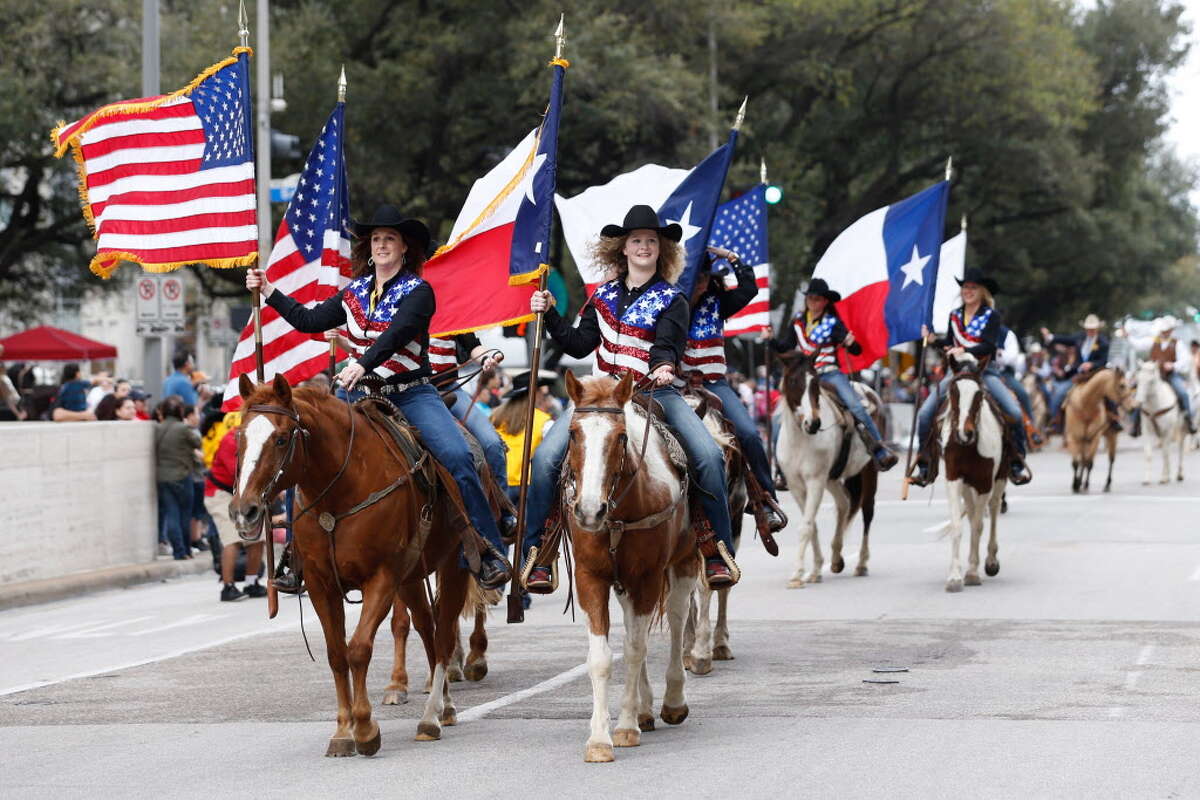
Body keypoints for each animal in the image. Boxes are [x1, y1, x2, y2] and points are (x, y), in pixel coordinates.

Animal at [228, 376, 477, 758]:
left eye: (281, 438)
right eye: (240, 438)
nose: (245, 511)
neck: (340, 490)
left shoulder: (381, 578)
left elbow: (358, 649)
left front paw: (364, 728)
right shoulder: (322, 585)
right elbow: (336, 654)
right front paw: (343, 731)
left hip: (453, 566)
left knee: (444, 633)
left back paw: (431, 717)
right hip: (410, 578)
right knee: (427, 627)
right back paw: (443, 705)